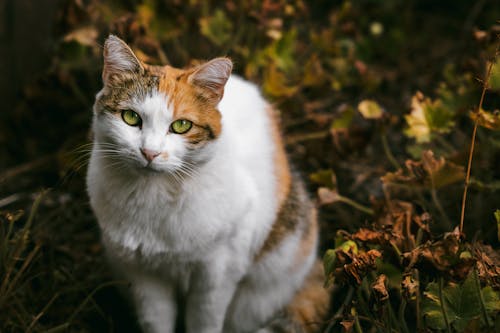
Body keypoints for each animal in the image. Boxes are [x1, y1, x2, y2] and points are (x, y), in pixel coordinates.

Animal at [87, 35, 328, 330]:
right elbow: (156, 320)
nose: (150, 152)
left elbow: (204, 322)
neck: (154, 194)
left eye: (181, 126)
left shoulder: (217, 276)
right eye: (131, 117)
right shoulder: (143, 276)